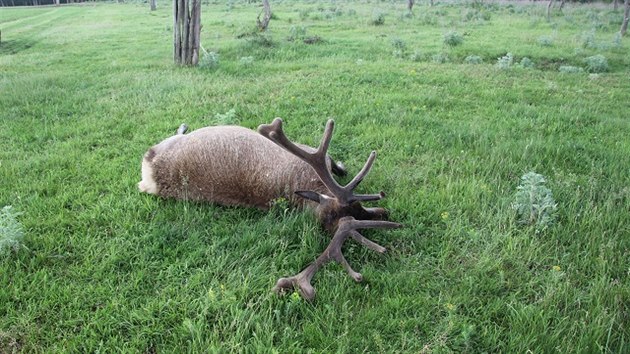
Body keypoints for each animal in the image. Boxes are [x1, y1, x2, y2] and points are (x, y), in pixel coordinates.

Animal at [140, 119, 402, 302]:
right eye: (356, 207)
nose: (383, 211)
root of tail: (150, 176)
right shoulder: (314, 152)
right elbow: (338, 164)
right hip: (166, 142)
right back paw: (184, 125)